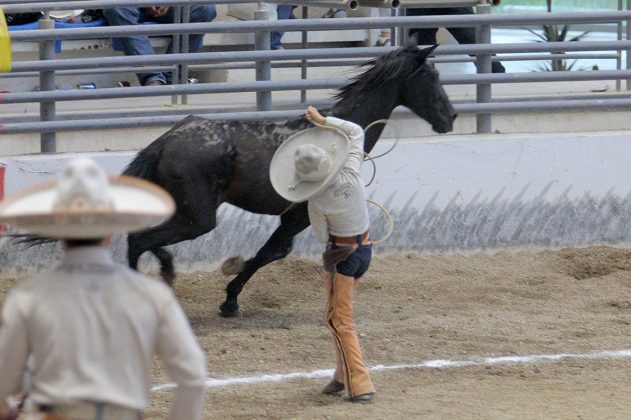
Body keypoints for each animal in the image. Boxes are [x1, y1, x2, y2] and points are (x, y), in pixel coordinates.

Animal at [122, 44, 454, 316]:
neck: (337, 137)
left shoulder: (294, 217)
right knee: (139, 239)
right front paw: (230, 299)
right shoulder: (299, 216)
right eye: (432, 75)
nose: (450, 117)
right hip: (198, 218)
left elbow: (274, 252)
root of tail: (164, 142)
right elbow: (270, 252)